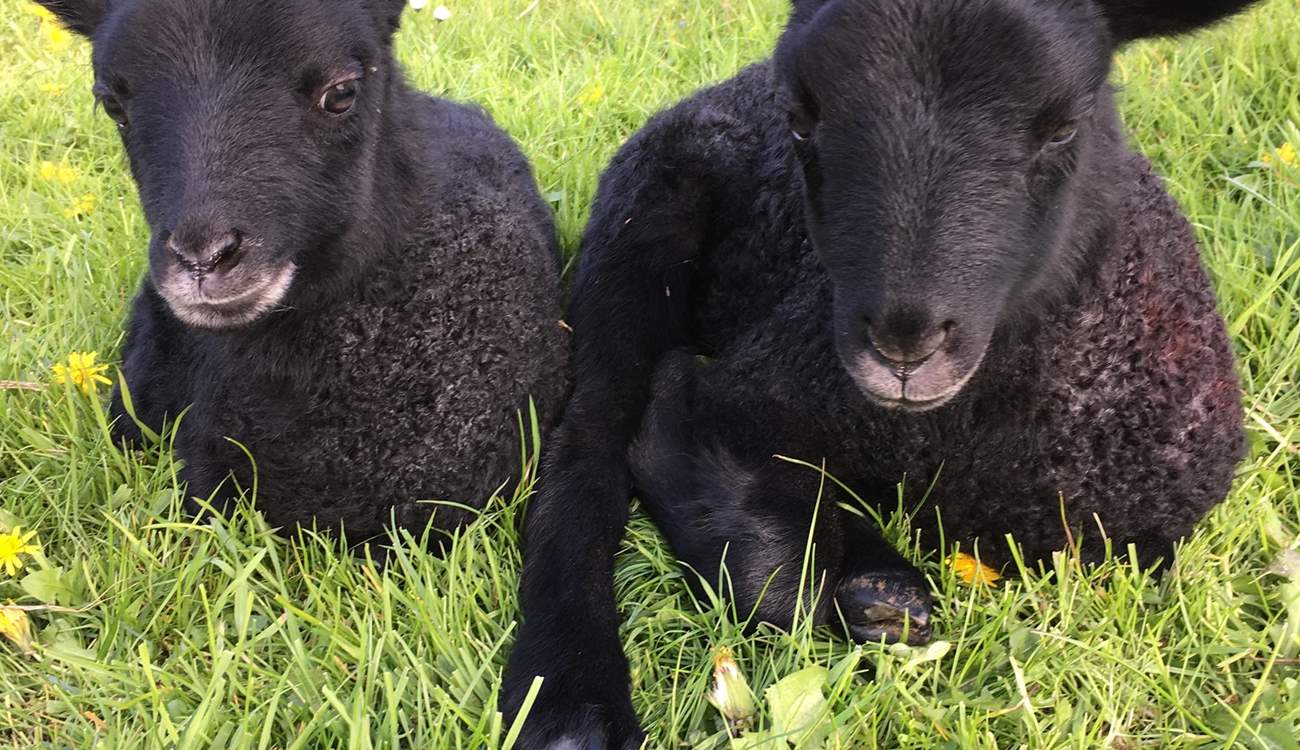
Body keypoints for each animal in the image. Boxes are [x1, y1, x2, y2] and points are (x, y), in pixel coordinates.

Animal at [502, 0, 1256, 746]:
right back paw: (571, 702)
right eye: (799, 117)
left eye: (1067, 125)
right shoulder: (747, 391)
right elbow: (707, 480)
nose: (902, 344)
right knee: (591, 435)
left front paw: (874, 592)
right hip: (639, 227)